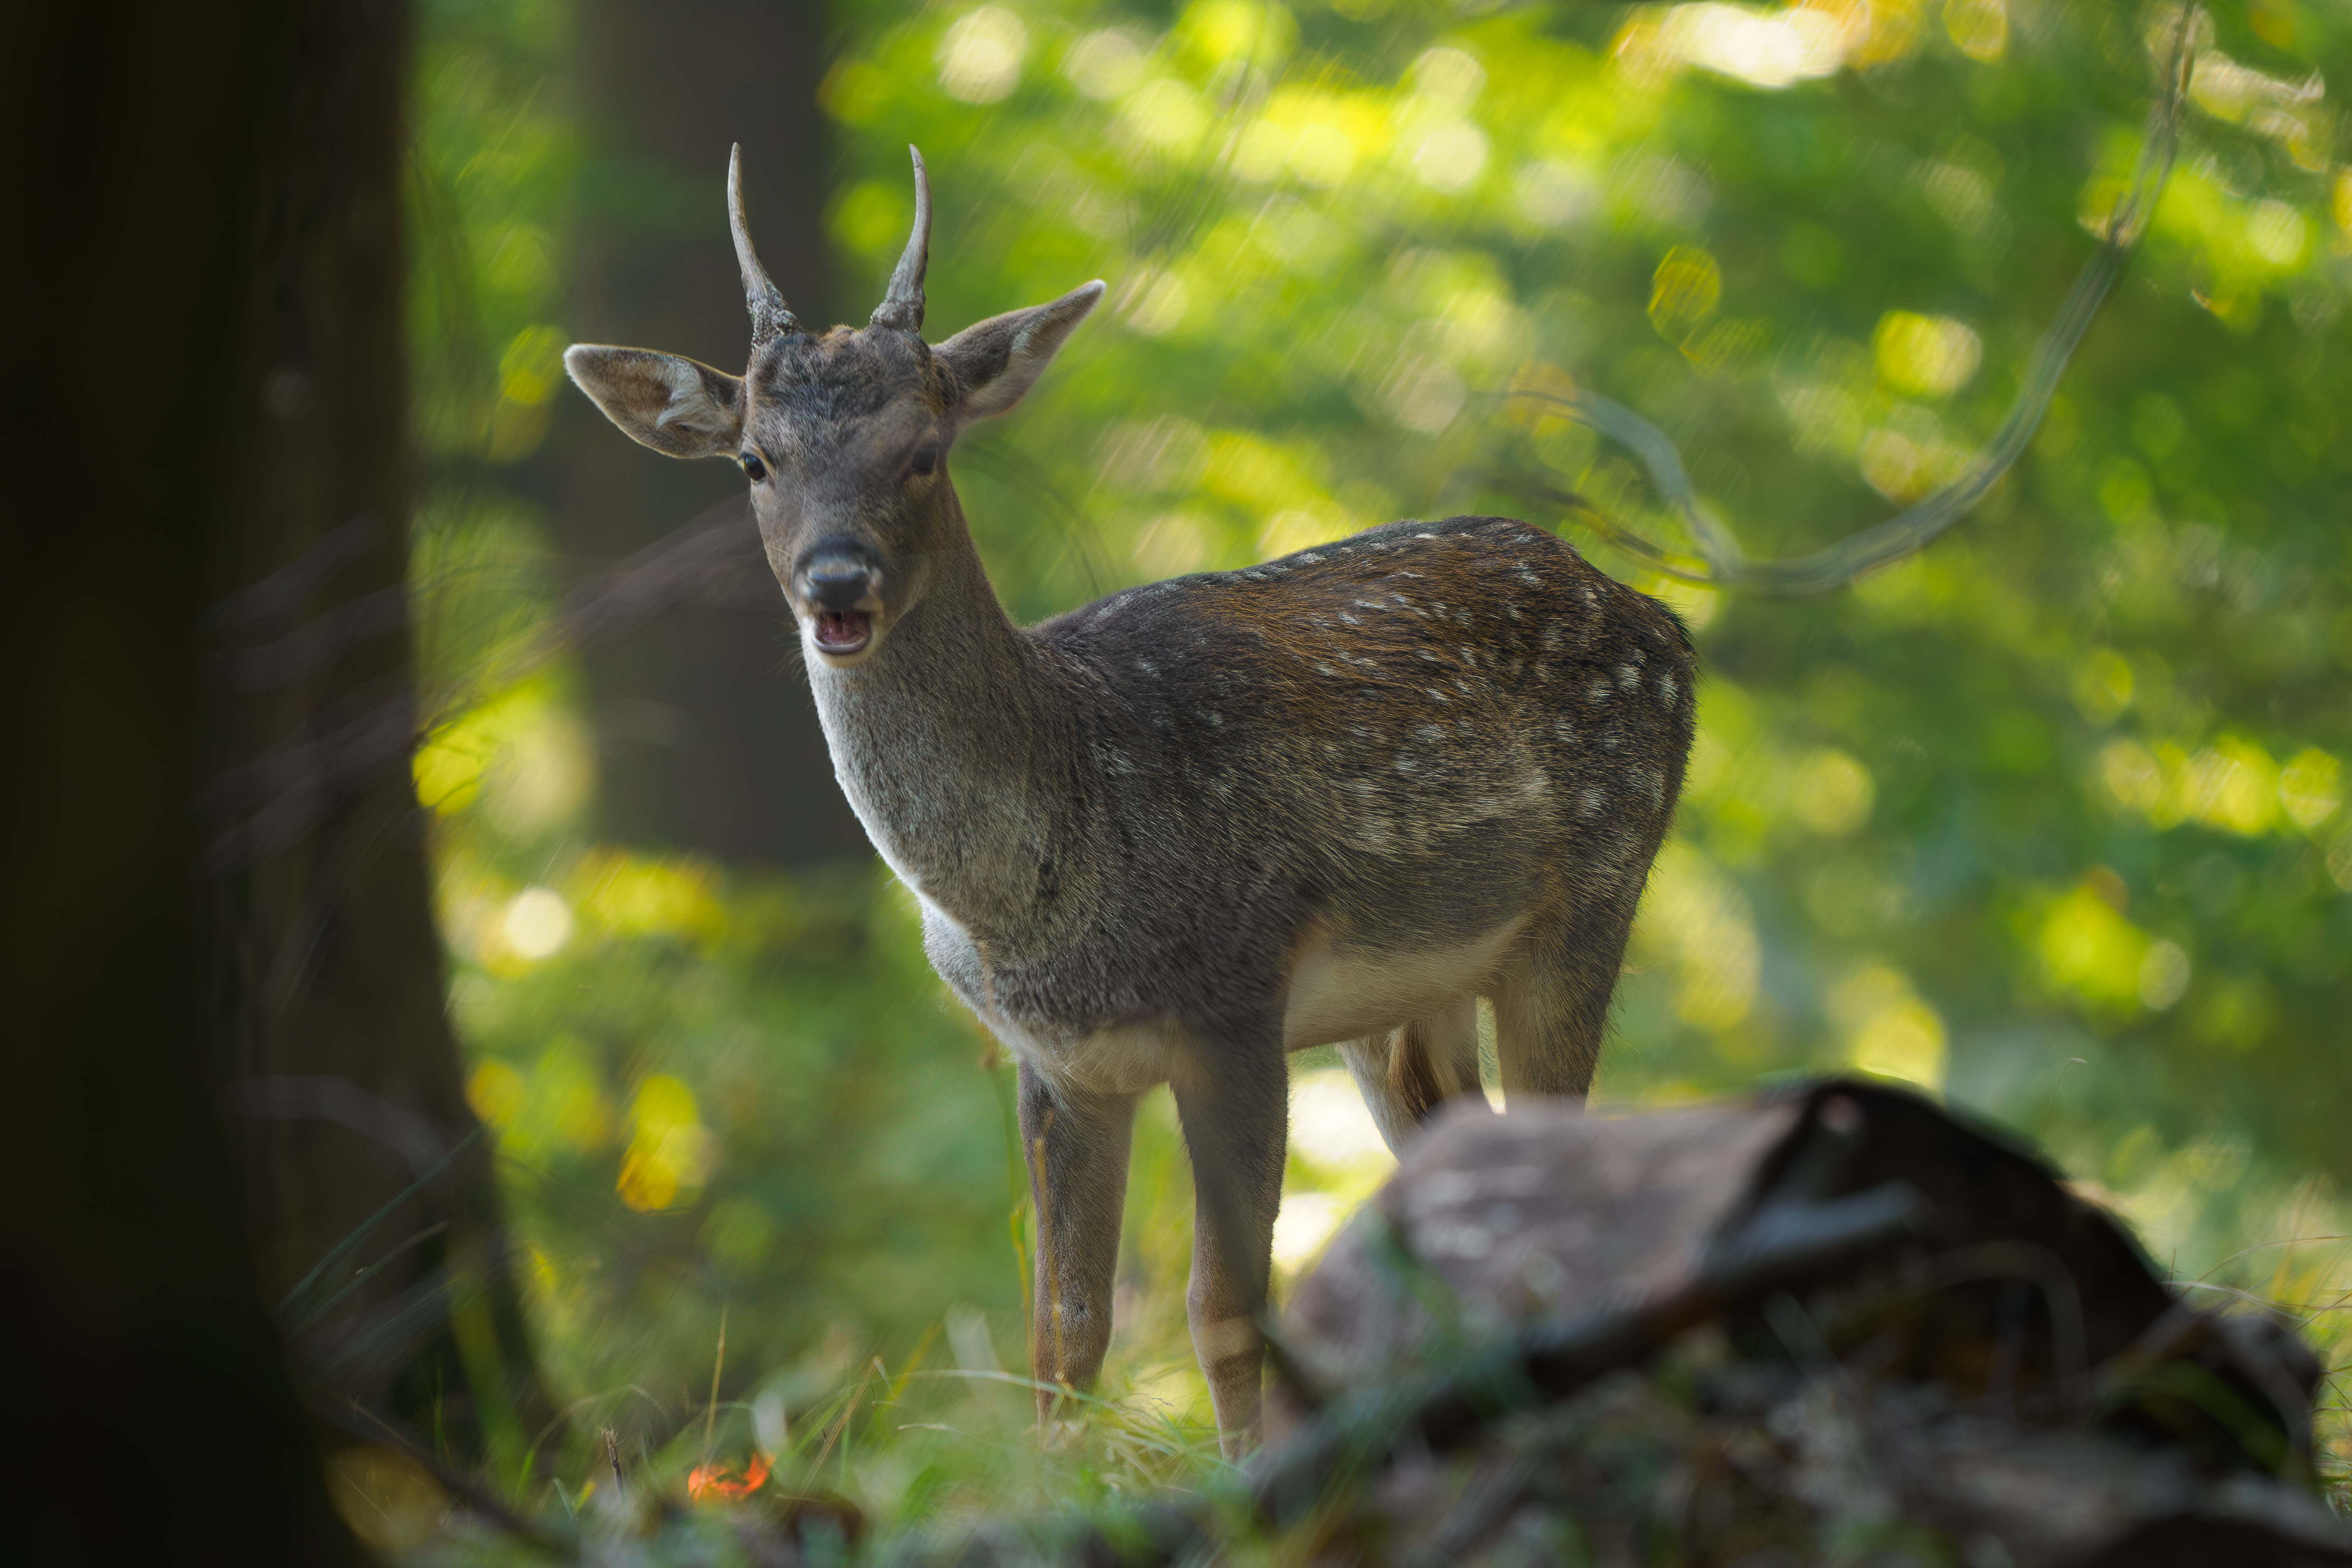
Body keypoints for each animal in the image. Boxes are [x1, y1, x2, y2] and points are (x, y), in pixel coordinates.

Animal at [574, 150, 1712, 1457]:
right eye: (753, 461)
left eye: (926, 449)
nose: (836, 581)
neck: (1045, 879)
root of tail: (1664, 620)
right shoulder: (1059, 1063)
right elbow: (1062, 1332)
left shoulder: (1236, 1003)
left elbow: (1223, 1308)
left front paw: (1244, 1478)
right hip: (1403, 1003)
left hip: (1592, 897)